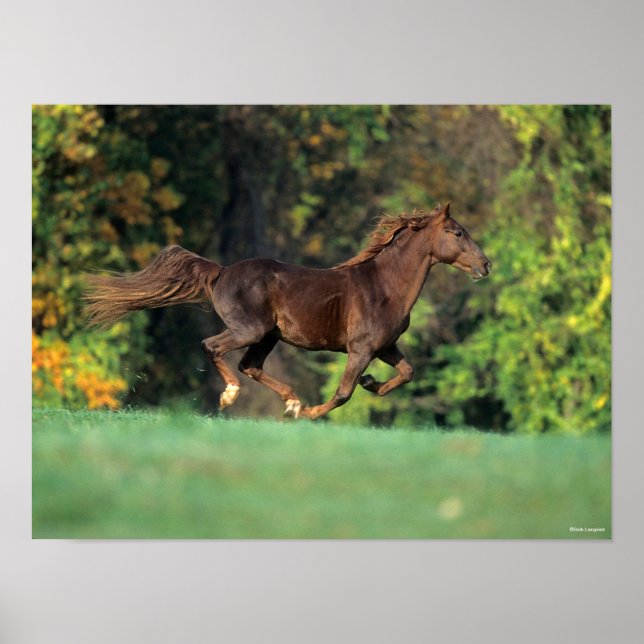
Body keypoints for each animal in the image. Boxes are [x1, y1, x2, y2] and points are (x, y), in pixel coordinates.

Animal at [85, 202, 490, 419]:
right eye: (457, 233)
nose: (486, 265)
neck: (384, 287)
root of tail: (221, 272)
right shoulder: (360, 349)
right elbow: (344, 392)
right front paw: (312, 413)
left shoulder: (385, 347)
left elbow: (407, 373)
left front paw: (372, 383)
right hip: (249, 330)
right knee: (213, 347)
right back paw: (234, 396)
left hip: (268, 336)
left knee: (250, 365)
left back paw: (291, 401)